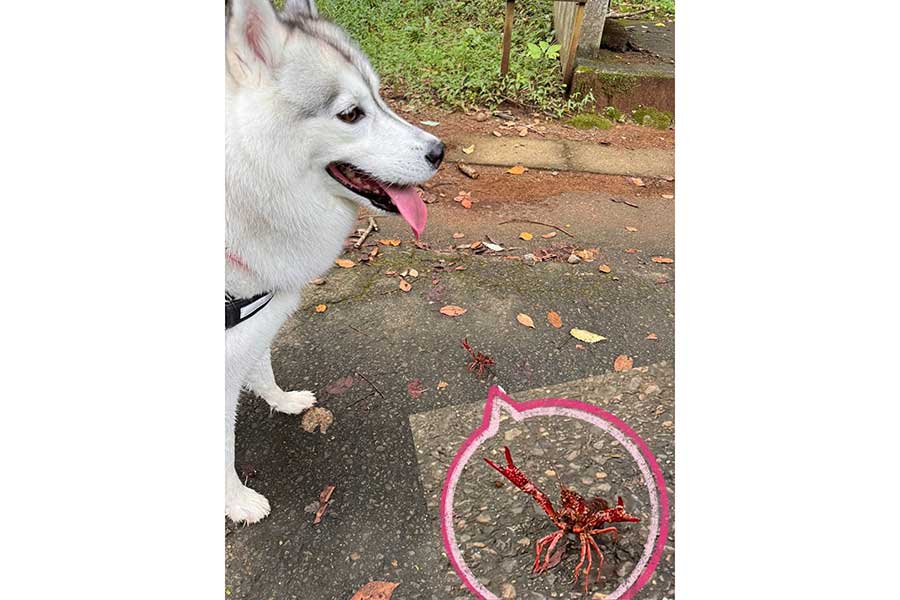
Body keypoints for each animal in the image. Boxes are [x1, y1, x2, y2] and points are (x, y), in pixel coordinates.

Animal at [225, 0, 442, 524]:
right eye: (350, 114)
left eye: (380, 97)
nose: (440, 152)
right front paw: (235, 501)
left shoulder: (254, 326)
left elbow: (260, 366)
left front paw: (281, 400)